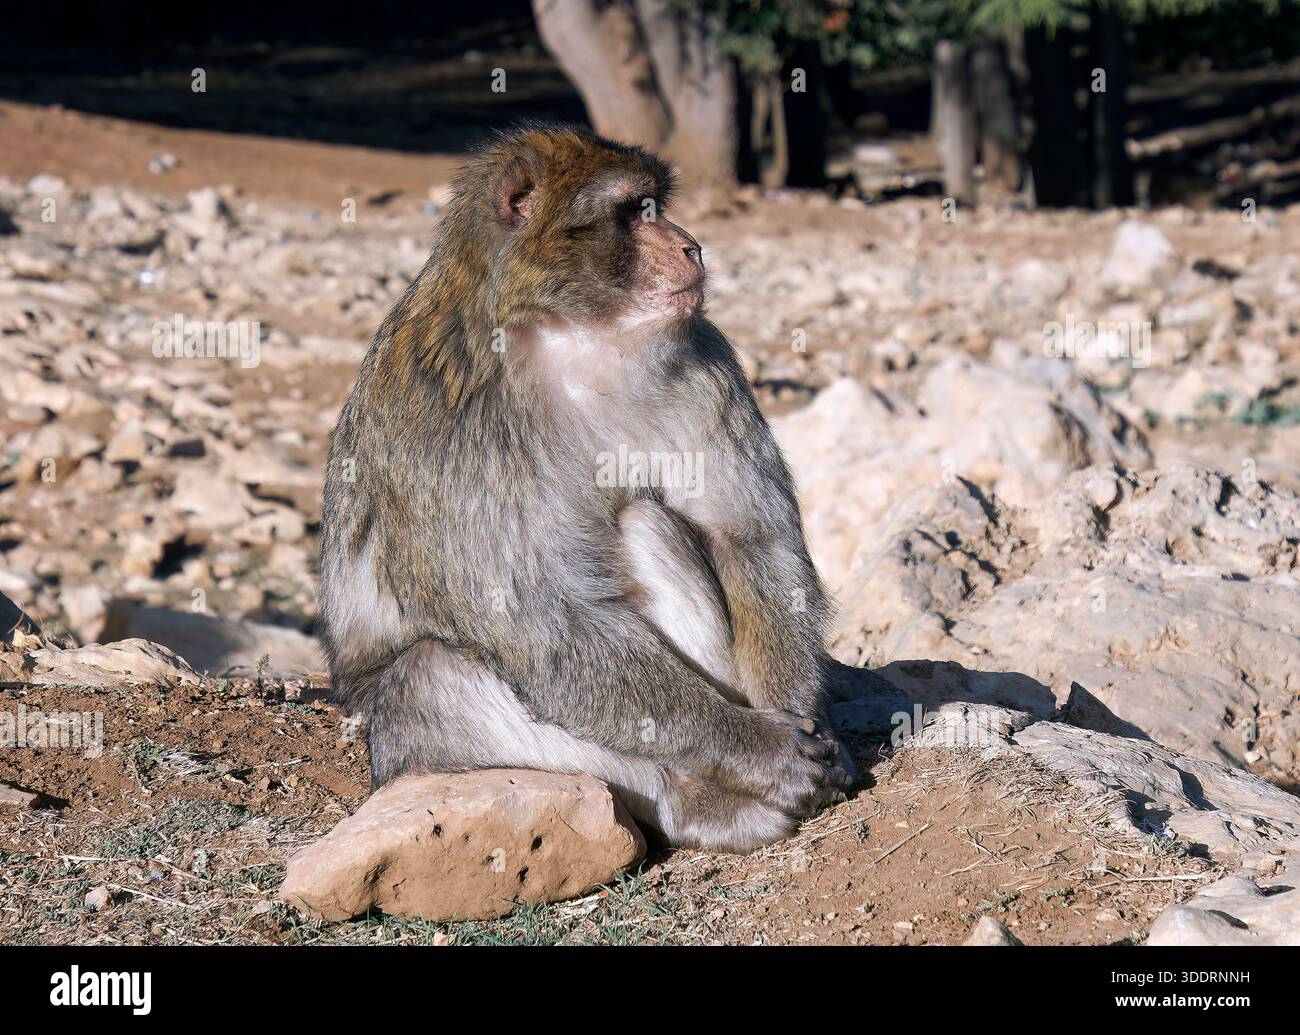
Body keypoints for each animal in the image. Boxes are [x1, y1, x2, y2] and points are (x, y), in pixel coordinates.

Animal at [318, 124, 855, 853]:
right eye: (633, 212)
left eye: (655, 206)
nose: (691, 246)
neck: (572, 336)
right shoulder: (447, 428)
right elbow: (546, 626)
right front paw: (761, 746)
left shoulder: (705, 359)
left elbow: (749, 536)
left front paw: (799, 718)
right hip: (408, 754)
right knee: (429, 677)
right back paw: (700, 802)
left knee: (647, 523)